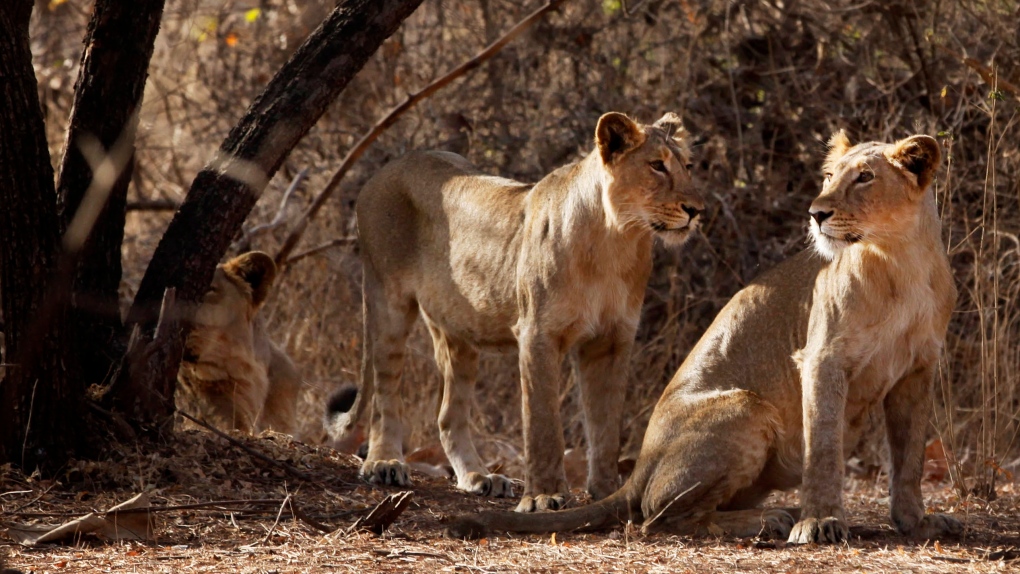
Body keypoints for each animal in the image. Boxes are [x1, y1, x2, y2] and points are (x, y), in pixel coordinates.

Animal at [326, 111, 701, 511]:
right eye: (657, 165)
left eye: (689, 166)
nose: (697, 210)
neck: (617, 241)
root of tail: (384, 170)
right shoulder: (538, 333)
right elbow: (543, 423)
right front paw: (543, 496)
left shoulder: (612, 341)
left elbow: (605, 428)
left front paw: (606, 493)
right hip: (387, 300)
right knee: (385, 393)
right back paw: (384, 463)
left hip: (457, 329)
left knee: (447, 416)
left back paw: (480, 477)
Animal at [444, 130, 954, 542]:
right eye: (829, 176)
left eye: (865, 177)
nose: (816, 213)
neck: (898, 261)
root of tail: (639, 466)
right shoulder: (822, 357)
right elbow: (825, 445)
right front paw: (820, 522)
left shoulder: (920, 368)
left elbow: (909, 457)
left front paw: (917, 522)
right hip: (747, 406)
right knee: (656, 518)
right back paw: (772, 519)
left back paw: (782, 511)